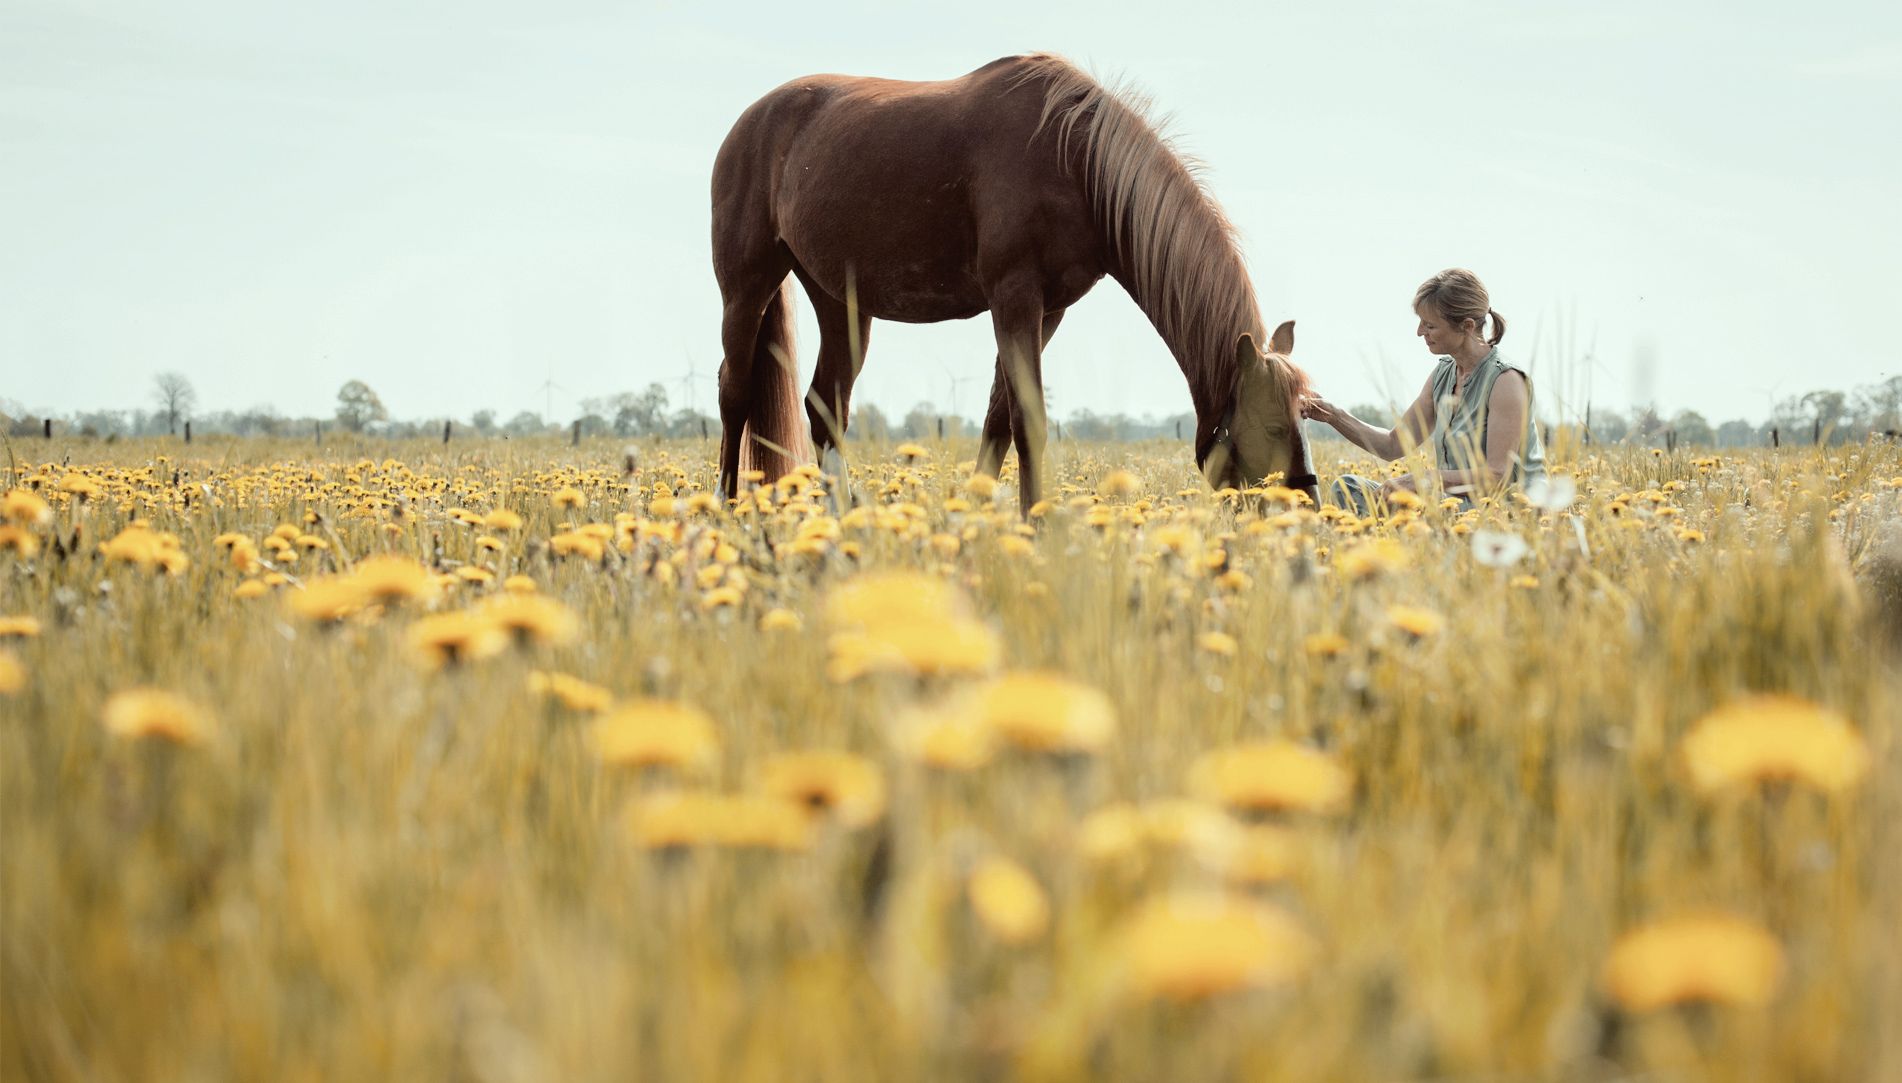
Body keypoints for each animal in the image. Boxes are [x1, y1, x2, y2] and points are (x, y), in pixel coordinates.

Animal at [710, 52, 1317, 510]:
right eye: (1271, 427)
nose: (1306, 502)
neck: (1074, 160)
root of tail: (751, 121)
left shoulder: (1048, 310)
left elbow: (999, 419)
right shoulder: (1014, 297)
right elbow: (1029, 421)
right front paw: (1036, 523)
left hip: (841, 304)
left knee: (825, 407)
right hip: (746, 287)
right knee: (733, 392)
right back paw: (726, 506)